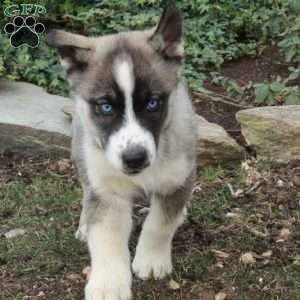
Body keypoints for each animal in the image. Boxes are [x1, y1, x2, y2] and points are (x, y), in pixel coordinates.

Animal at [46, 2, 197, 300]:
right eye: (105, 107)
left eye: (152, 103)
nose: (134, 158)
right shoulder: (107, 192)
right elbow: (106, 239)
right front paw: (108, 284)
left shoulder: (177, 179)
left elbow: (160, 223)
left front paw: (151, 260)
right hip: (81, 152)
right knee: (86, 190)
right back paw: (84, 224)